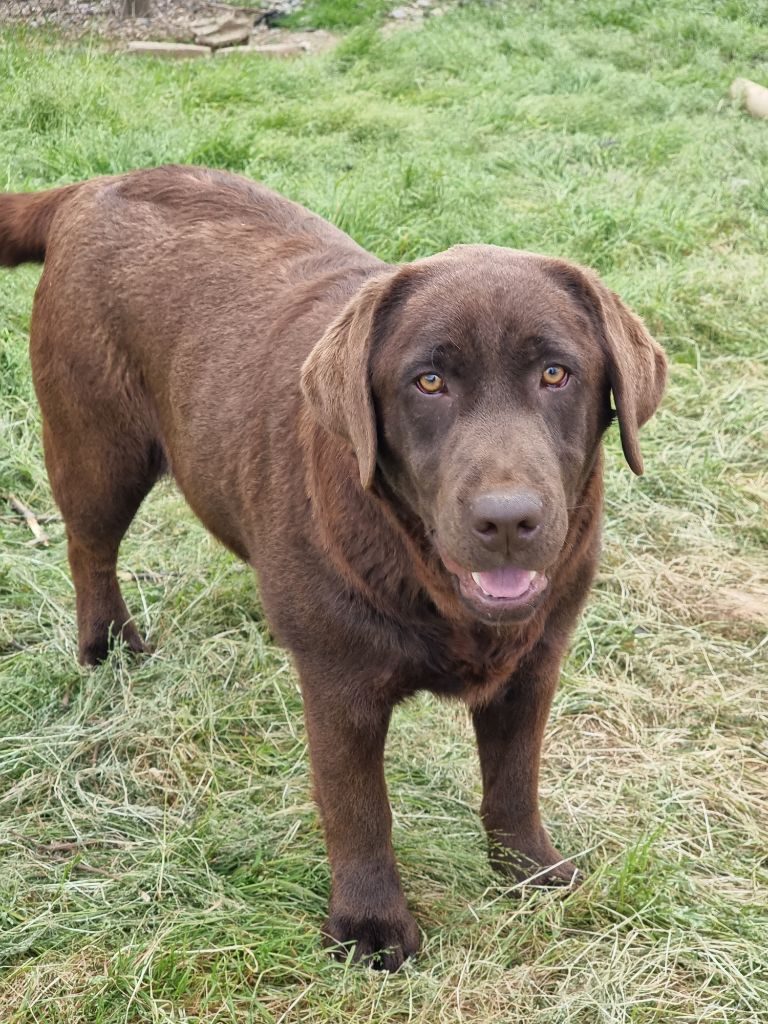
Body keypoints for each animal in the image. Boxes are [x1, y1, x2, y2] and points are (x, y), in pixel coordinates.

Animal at [1, 165, 667, 966]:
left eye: (556, 373)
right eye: (428, 382)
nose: (507, 520)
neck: (425, 576)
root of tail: (95, 185)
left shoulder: (534, 664)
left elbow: (513, 782)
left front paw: (529, 873)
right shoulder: (339, 684)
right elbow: (359, 810)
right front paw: (371, 927)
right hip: (99, 448)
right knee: (89, 547)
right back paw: (108, 648)